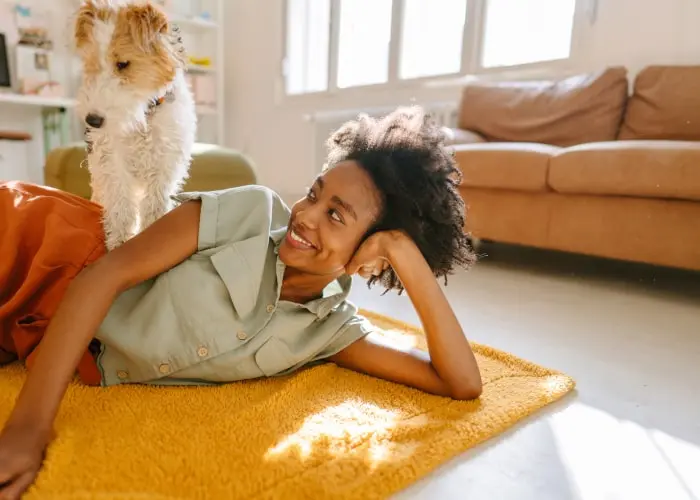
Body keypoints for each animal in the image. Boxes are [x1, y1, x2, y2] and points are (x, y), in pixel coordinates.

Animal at [73, 0, 196, 250]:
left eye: (123, 63)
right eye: (91, 63)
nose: (93, 120)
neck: (144, 117)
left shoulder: (166, 164)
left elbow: (155, 205)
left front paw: (150, 233)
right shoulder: (112, 162)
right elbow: (121, 206)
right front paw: (119, 242)